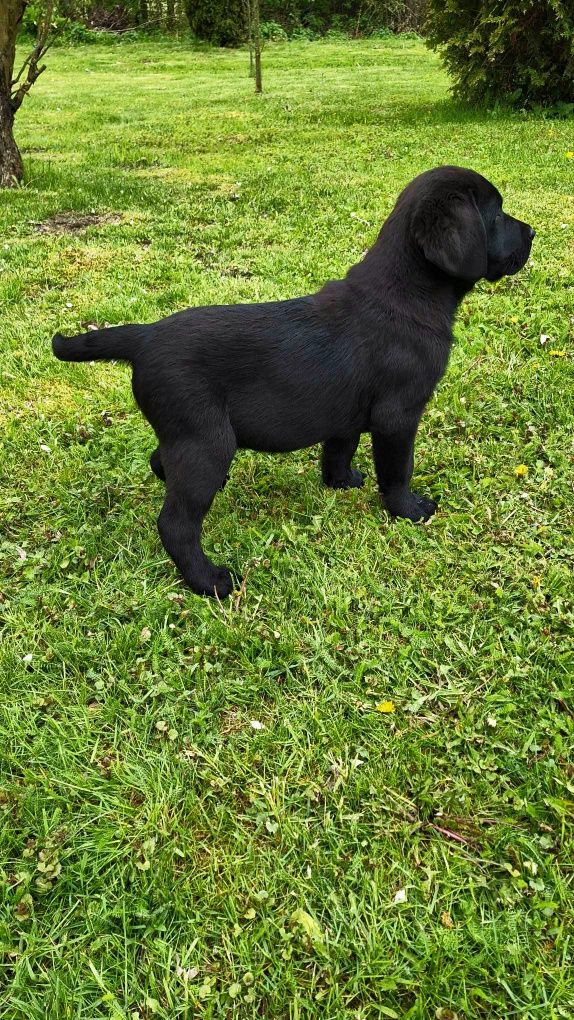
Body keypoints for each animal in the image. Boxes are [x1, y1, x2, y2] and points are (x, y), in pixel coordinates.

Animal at [54, 167, 534, 595]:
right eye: (496, 214)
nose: (532, 233)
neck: (406, 293)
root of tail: (145, 335)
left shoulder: (345, 412)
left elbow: (339, 448)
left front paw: (341, 481)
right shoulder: (398, 416)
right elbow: (398, 471)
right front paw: (409, 510)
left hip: (188, 435)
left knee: (161, 462)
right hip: (207, 440)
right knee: (175, 523)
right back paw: (209, 581)